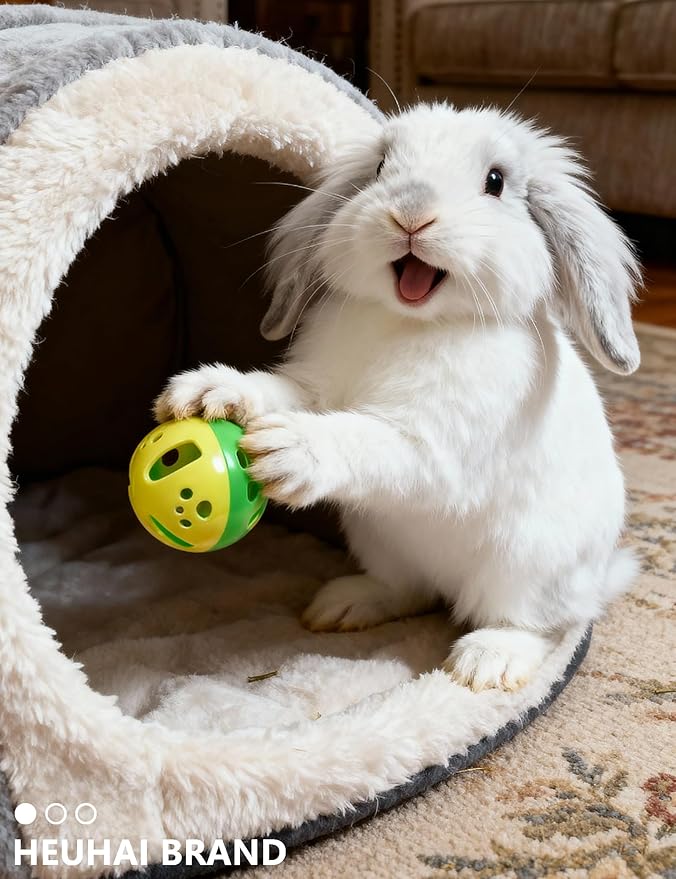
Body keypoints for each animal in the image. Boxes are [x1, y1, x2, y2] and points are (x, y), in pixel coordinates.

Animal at [154, 102, 641, 692]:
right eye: (382, 166)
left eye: (496, 181)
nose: (411, 213)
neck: (407, 322)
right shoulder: (315, 386)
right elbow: (282, 391)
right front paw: (209, 392)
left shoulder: (437, 445)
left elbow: (374, 443)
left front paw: (288, 450)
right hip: (381, 541)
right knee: (410, 590)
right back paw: (343, 606)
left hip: (527, 568)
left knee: (539, 625)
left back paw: (485, 663)